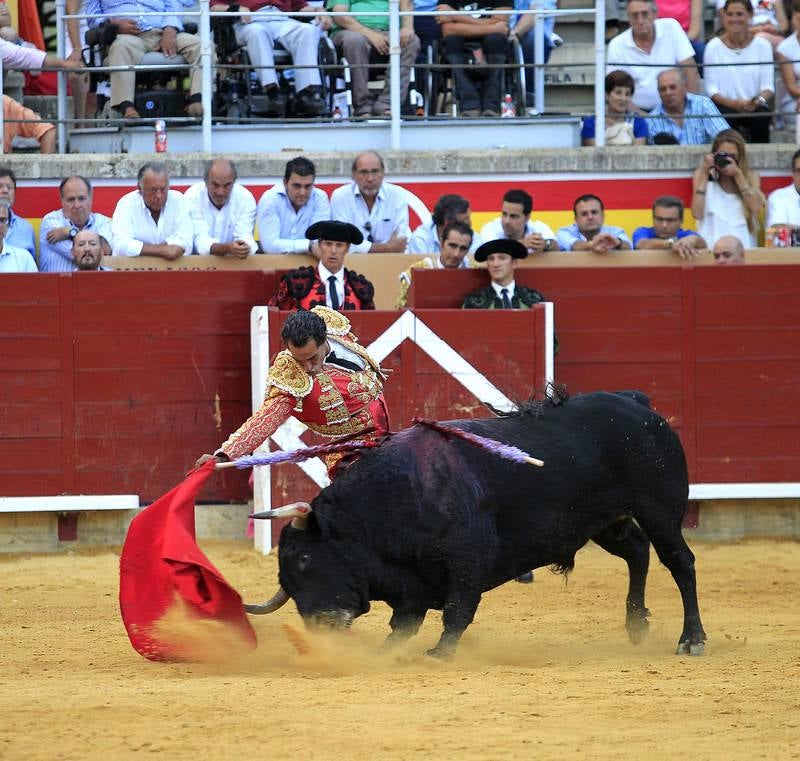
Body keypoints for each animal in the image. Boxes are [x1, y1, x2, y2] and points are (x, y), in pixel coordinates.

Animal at [247, 388, 704, 656]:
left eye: (305, 560)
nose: (319, 629)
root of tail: (637, 405)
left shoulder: (468, 557)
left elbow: (457, 610)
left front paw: (439, 653)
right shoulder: (411, 583)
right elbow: (404, 625)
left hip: (659, 509)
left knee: (679, 561)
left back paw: (691, 639)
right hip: (603, 521)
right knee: (637, 551)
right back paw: (636, 625)